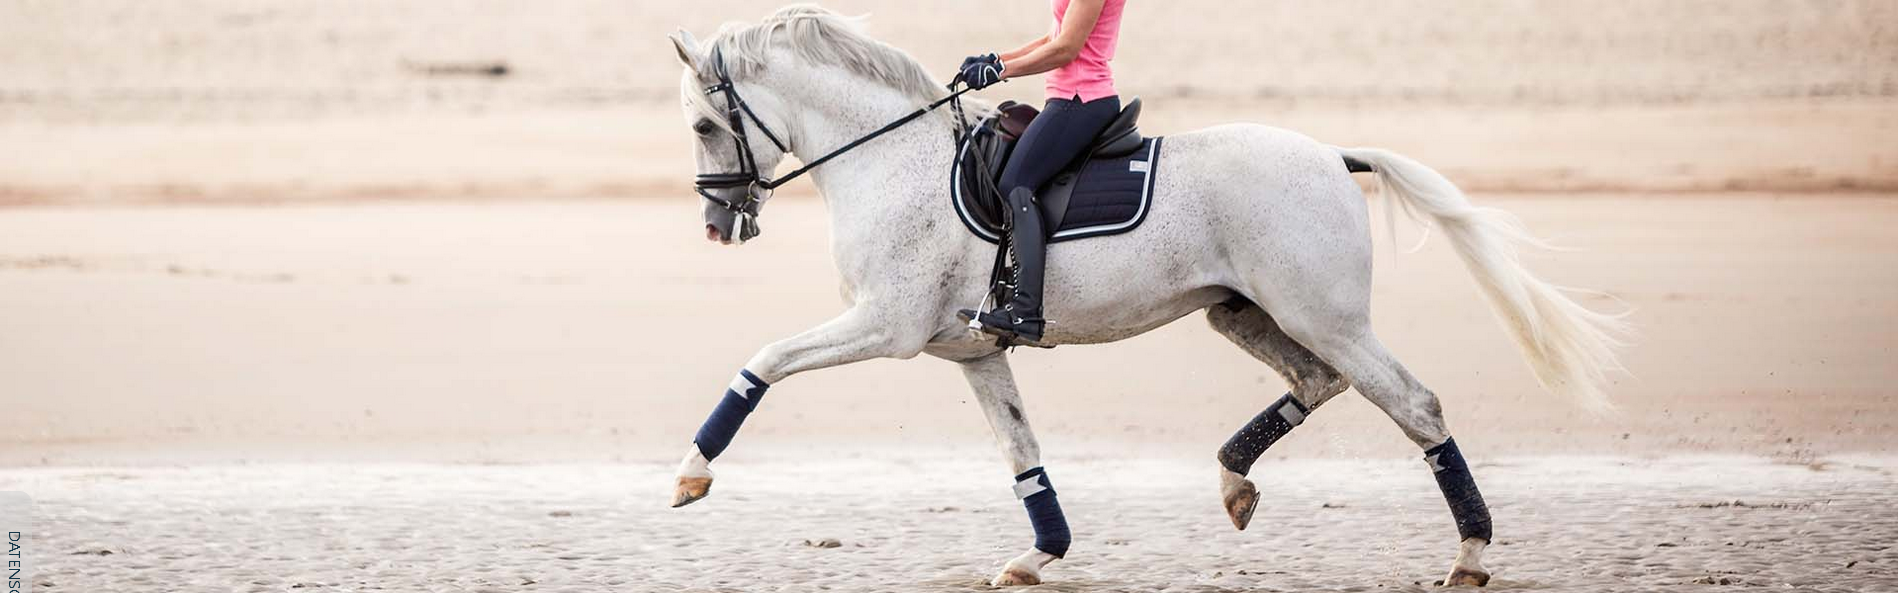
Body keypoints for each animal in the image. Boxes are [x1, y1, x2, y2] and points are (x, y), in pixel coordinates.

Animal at [664, 5, 1617, 589]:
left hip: (1325, 316)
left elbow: (764, 359)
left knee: (1414, 404)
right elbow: (1022, 452)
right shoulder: (971, 350)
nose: (715, 224)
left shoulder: (884, 325)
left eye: (706, 124)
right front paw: (1040, 555)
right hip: (1242, 311)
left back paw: (1471, 553)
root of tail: (1331, 155)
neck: (888, 159)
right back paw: (1234, 482)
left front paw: (691, 473)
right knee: (1318, 382)